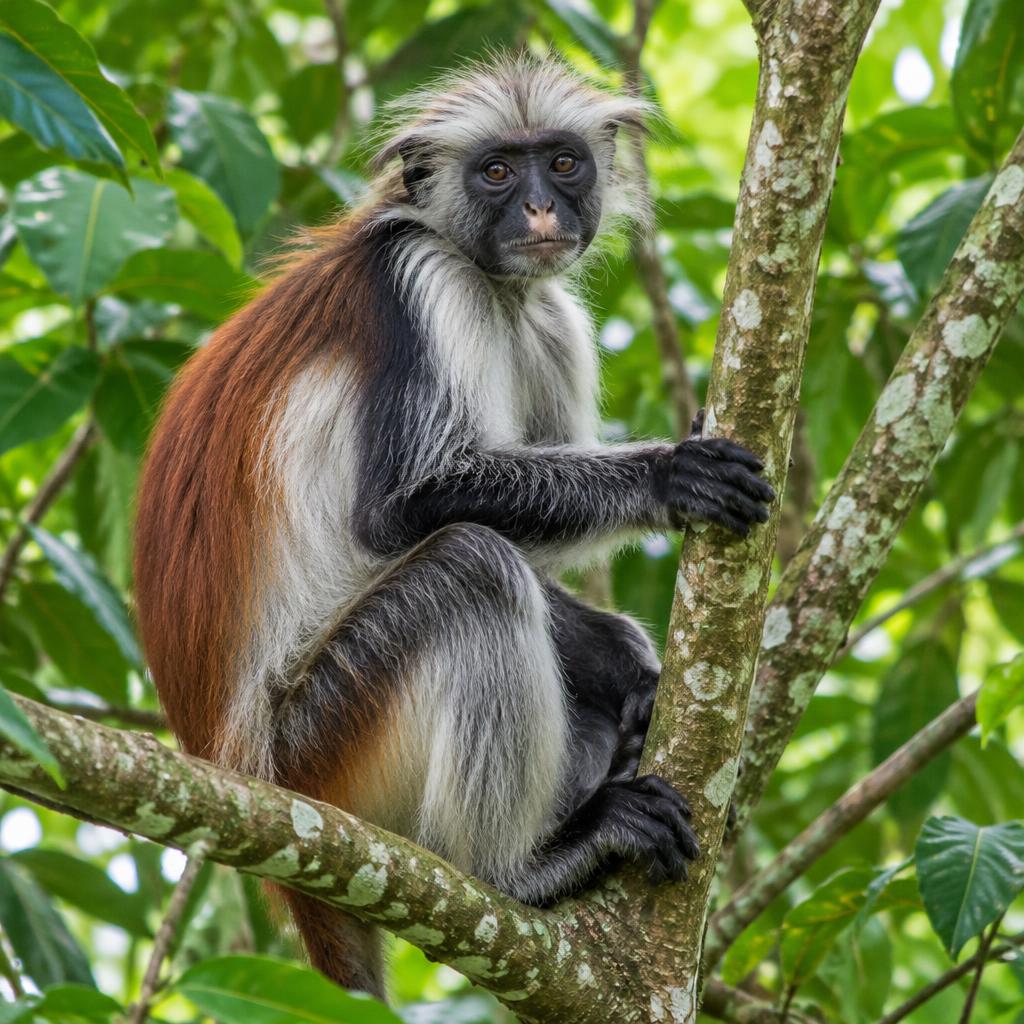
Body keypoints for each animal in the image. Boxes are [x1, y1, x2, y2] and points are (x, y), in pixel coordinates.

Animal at [134, 56, 774, 998]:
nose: (541, 210)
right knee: (473, 565)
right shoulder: (421, 279)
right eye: (497, 173)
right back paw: (517, 869)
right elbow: (404, 508)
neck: (491, 284)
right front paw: (668, 475)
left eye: (563, 164)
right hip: (321, 743)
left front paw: (630, 669)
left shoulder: (548, 319)